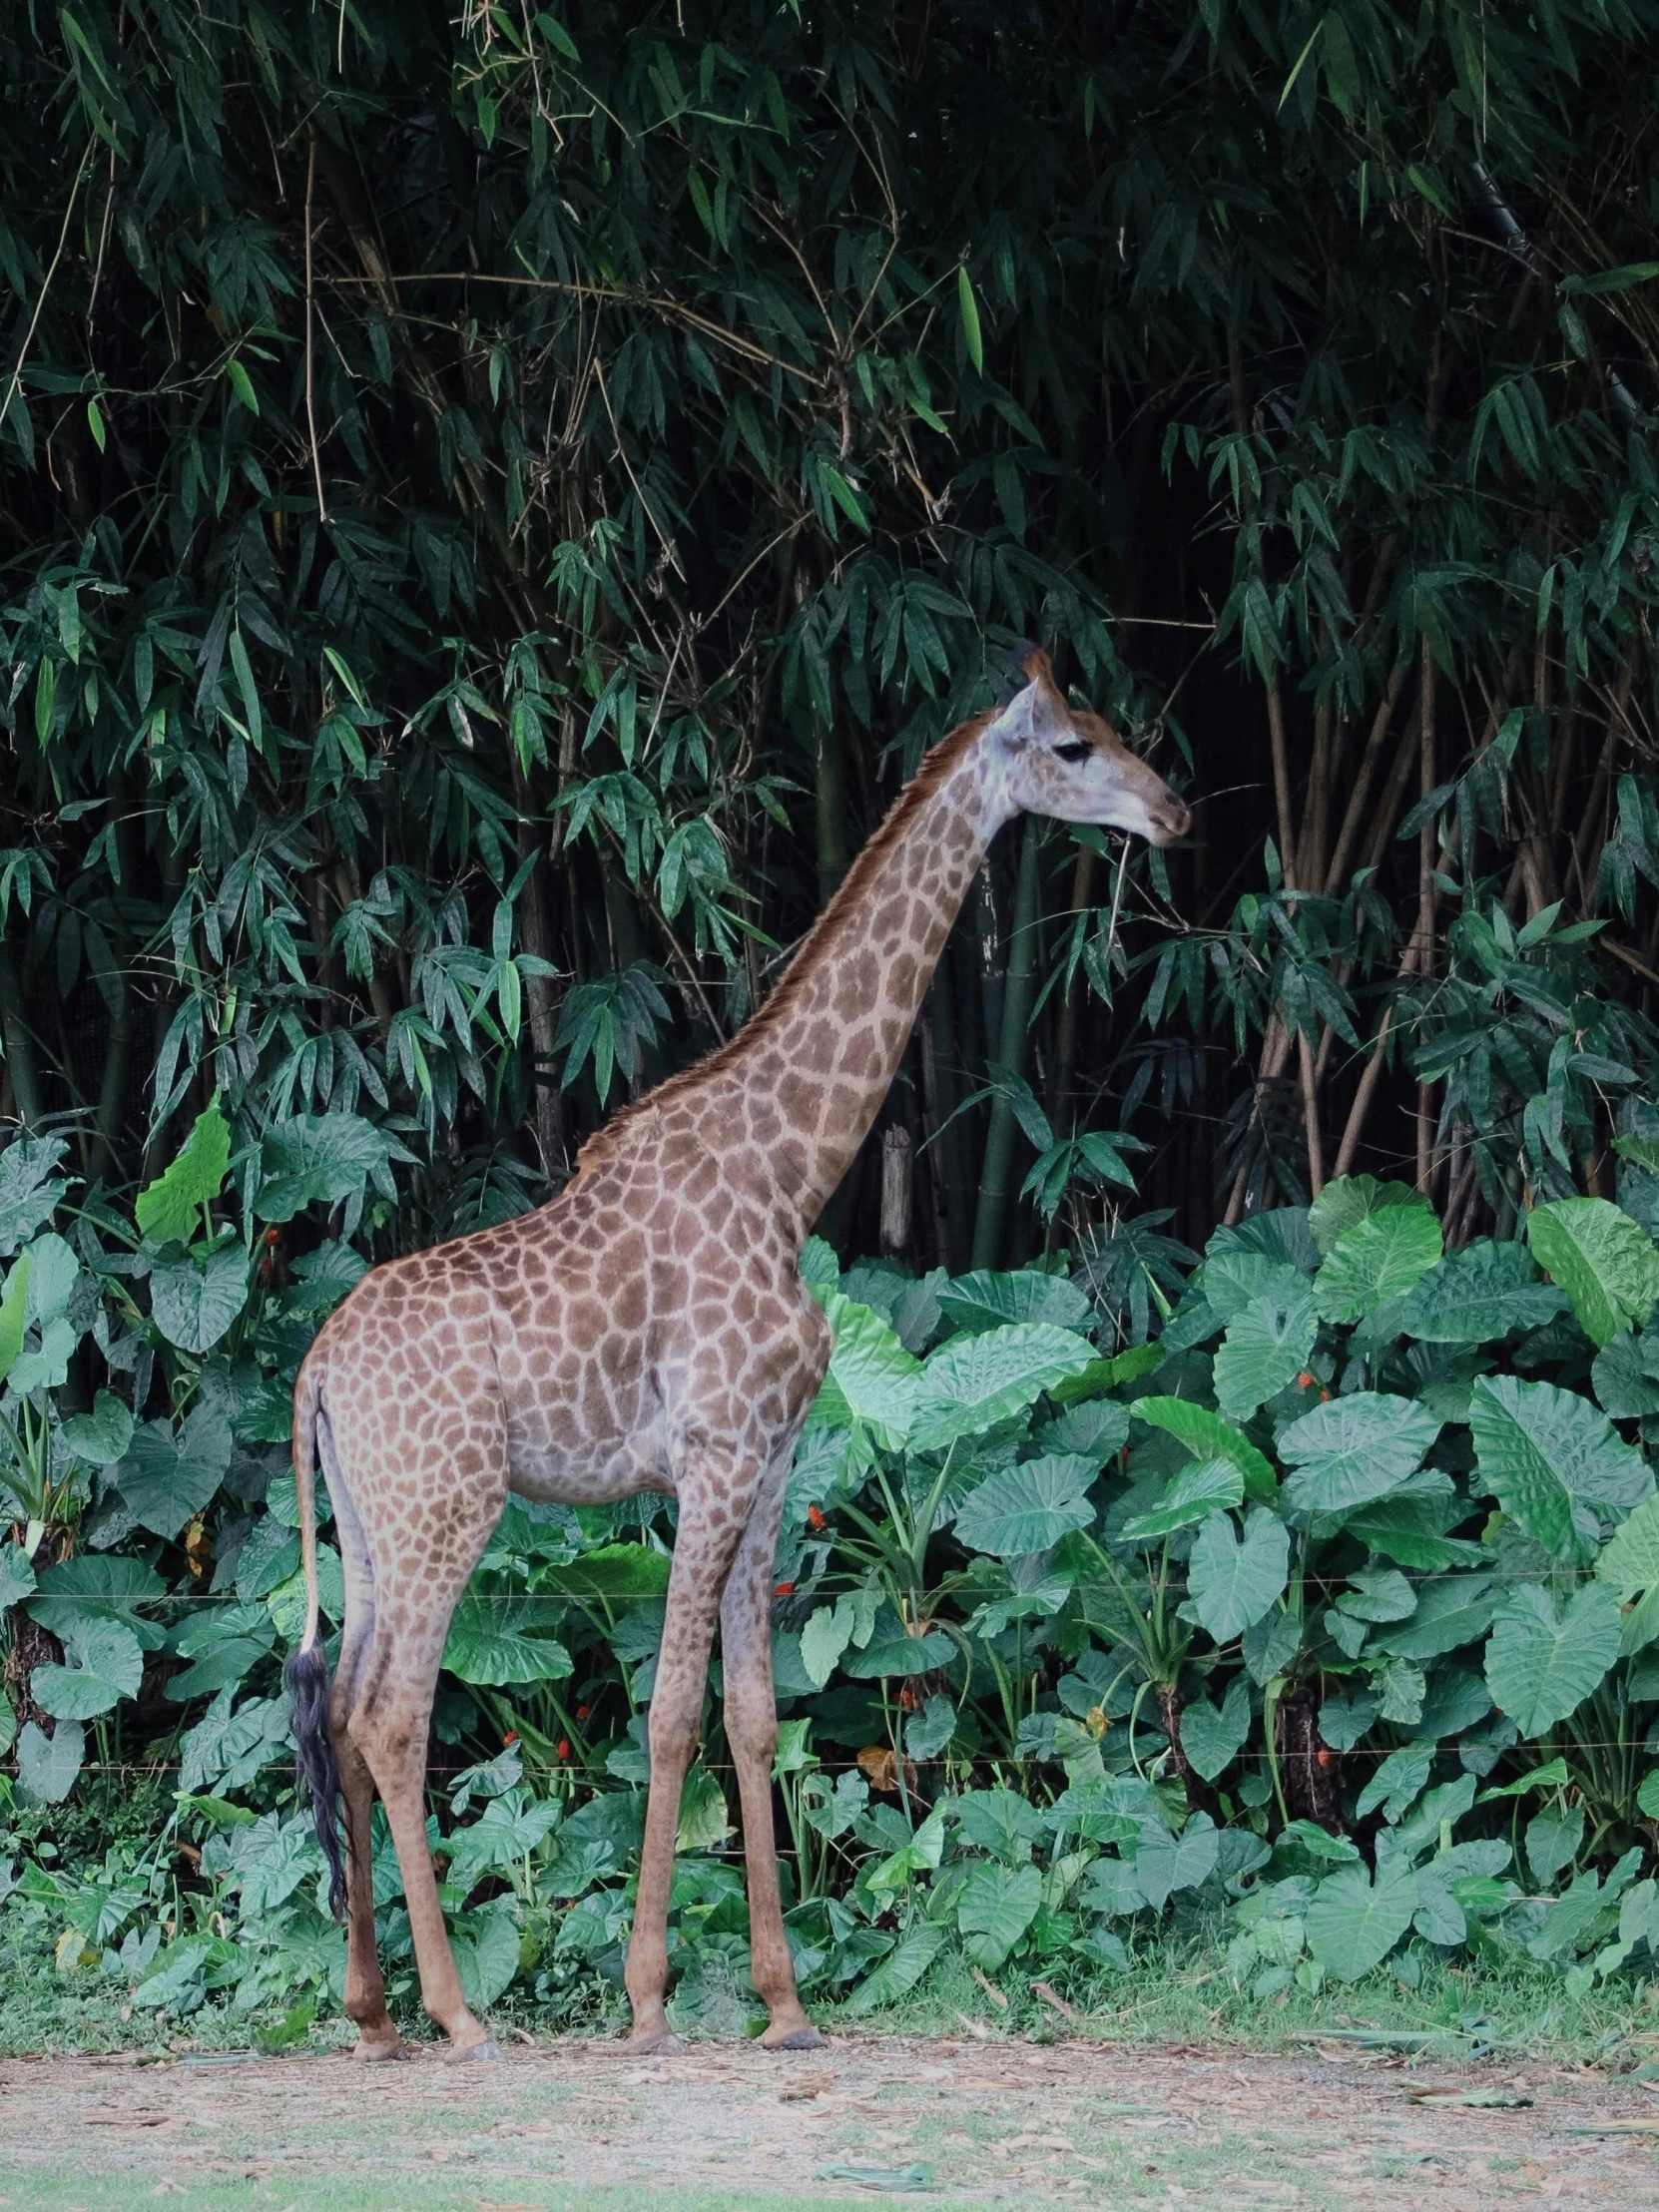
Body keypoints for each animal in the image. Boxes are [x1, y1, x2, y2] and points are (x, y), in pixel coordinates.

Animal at [289, 641, 1194, 2052]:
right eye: (1074, 746)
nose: (1174, 812)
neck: (790, 1172)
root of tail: (317, 1366)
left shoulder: (771, 1464)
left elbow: (756, 1715)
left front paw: (784, 2001)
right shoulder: (713, 1454)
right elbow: (667, 1716)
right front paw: (651, 1998)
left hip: (374, 1520)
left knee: (336, 1709)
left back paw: (373, 2008)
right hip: (449, 1508)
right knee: (391, 1716)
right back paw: (456, 2010)